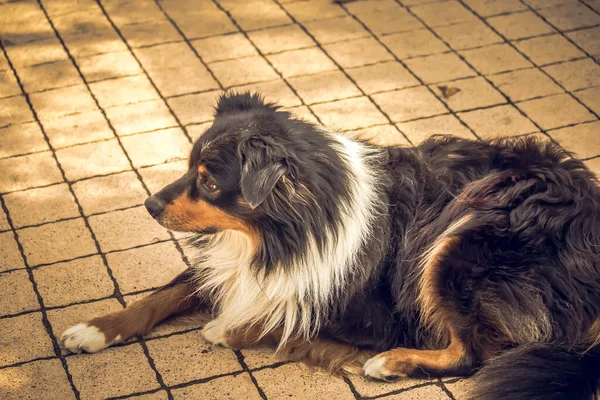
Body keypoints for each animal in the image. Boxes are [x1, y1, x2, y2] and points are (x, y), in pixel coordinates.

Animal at [59, 92, 600, 398]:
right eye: (190, 167)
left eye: (209, 183)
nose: (149, 204)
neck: (287, 230)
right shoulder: (238, 259)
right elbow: (162, 294)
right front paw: (95, 329)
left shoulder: (373, 312)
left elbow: (282, 315)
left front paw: (228, 328)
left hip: (459, 239)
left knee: (474, 353)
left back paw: (390, 362)